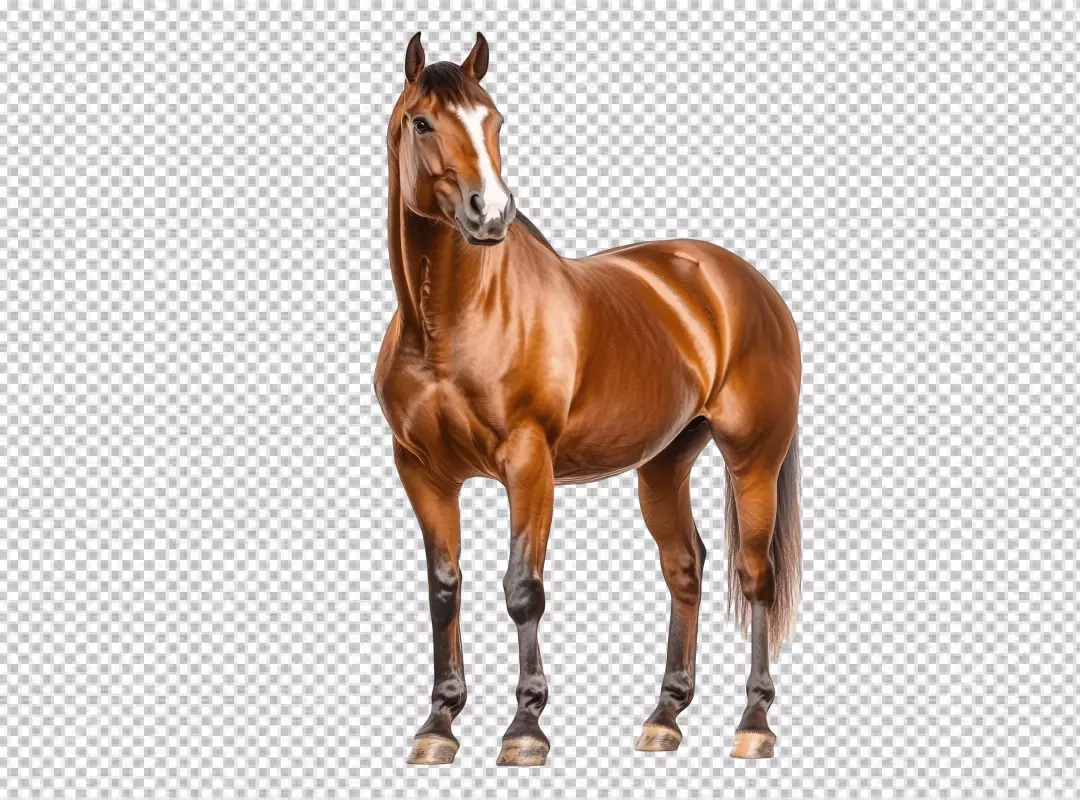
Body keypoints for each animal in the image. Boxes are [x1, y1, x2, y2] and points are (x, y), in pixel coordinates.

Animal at [375, 32, 802, 766]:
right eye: (424, 122)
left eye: (494, 121)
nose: (490, 214)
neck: (451, 323)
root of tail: (744, 283)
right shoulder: (422, 471)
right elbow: (443, 589)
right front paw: (438, 725)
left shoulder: (528, 464)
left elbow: (523, 588)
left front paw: (525, 729)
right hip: (664, 464)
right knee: (685, 566)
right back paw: (665, 717)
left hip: (753, 459)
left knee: (754, 577)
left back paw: (754, 724)